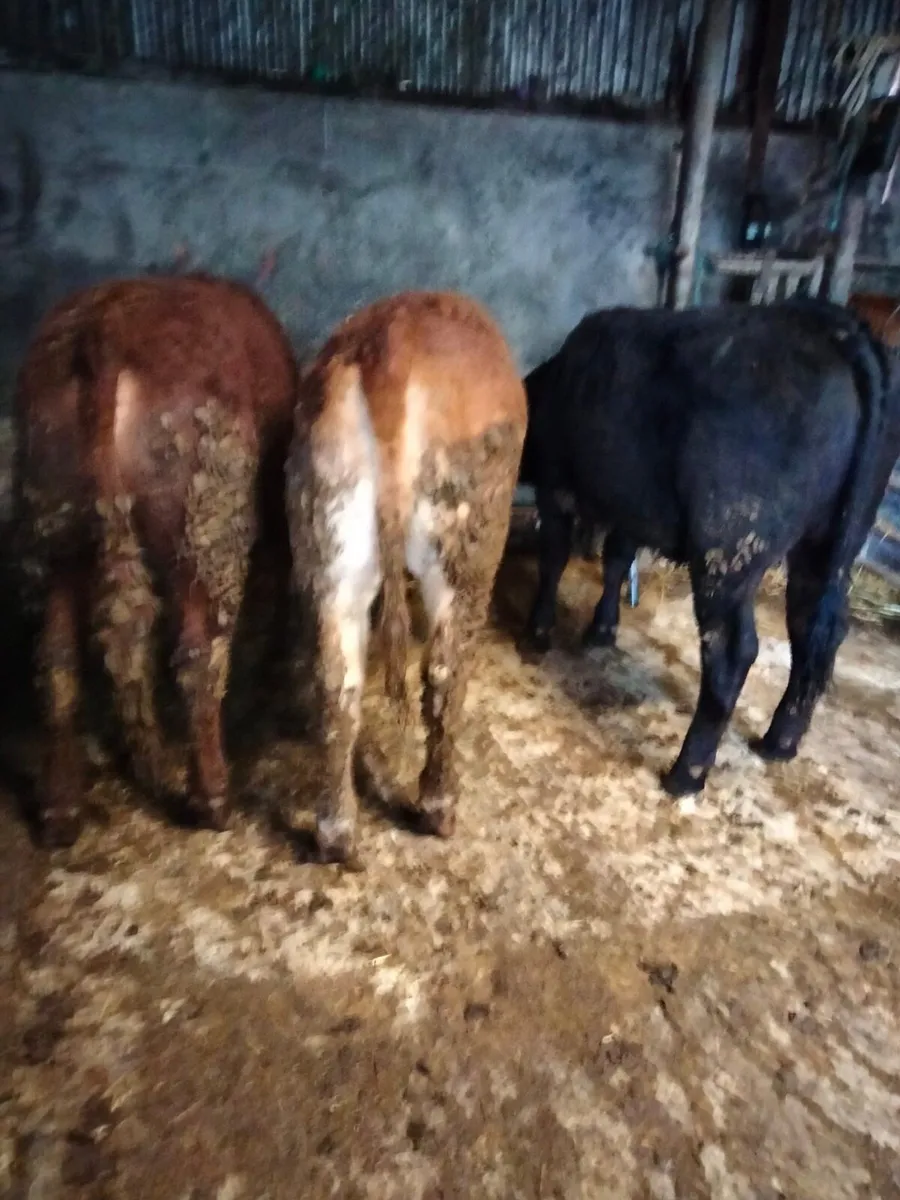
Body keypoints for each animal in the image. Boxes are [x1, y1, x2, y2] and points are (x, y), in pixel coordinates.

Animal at [14, 273, 297, 846]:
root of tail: (106, 326)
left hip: (52, 526)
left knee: (57, 661)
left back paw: (60, 811)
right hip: (198, 528)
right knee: (197, 657)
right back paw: (212, 797)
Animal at [286, 291, 526, 864]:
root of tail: (390, 345)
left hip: (330, 532)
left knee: (337, 681)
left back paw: (337, 835)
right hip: (463, 542)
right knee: (443, 672)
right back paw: (438, 807)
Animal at [518, 298, 899, 797]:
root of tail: (831, 324)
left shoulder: (558, 484)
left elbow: (555, 557)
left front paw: (537, 630)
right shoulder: (631, 507)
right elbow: (617, 559)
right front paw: (602, 630)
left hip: (730, 546)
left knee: (733, 650)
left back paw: (687, 771)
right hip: (831, 543)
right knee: (816, 629)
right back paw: (779, 741)